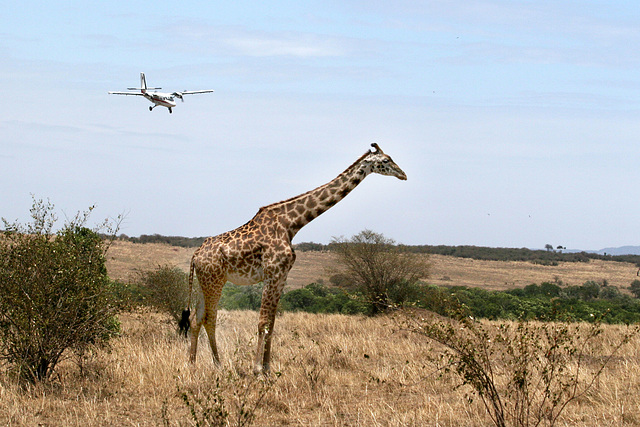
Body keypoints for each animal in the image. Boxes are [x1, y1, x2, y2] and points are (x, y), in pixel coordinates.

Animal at [182, 142, 408, 372]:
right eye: (386, 160)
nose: (403, 175)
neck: (292, 223)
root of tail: (196, 255)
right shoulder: (272, 273)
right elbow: (262, 322)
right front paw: (257, 369)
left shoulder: (282, 275)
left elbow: (272, 323)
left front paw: (267, 368)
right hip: (215, 282)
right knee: (210, 318)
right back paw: (217, 364)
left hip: (204, 281)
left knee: (196, 318)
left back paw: (192, 363)